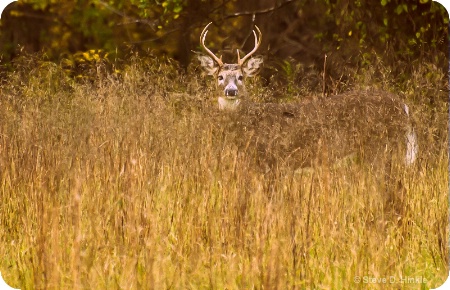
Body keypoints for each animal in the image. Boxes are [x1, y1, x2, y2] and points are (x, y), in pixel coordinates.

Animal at [197, 22, 418, 172]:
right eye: (220, 77)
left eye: (241, 77)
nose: (231, 91)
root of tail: (404, 107)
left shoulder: (274, 158)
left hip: (383, 147)